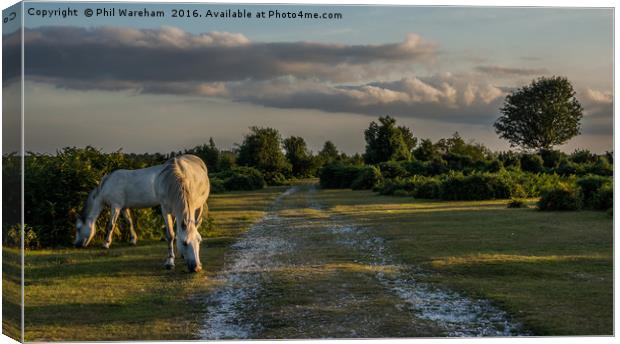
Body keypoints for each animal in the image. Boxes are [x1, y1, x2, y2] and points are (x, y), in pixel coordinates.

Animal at [74, 155, 211, 272]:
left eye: (78, 228)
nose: (76, 245)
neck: (107, 184)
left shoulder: (116, 206)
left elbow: (110, 225)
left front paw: (106, 244)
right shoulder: (124, 207)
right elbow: (129, 222)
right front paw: (133, 240)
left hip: (198, 207)